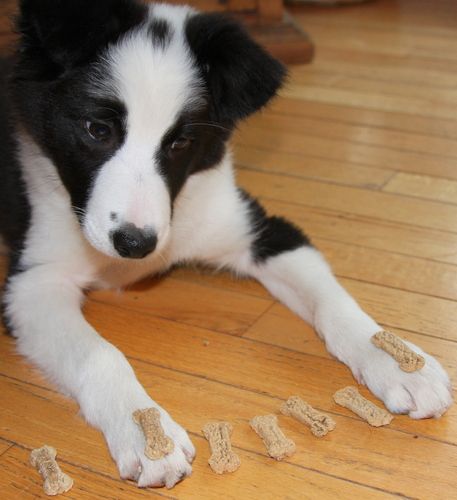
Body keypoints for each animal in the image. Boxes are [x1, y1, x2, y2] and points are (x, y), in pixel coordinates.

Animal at [0, 0, 452, 489]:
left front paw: (401, 362)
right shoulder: (34, 282)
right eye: (97, 130)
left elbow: (334, 304)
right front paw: (144, 430)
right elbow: (99, 353)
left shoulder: (264, 229)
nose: (135, 243)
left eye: (180, 142)